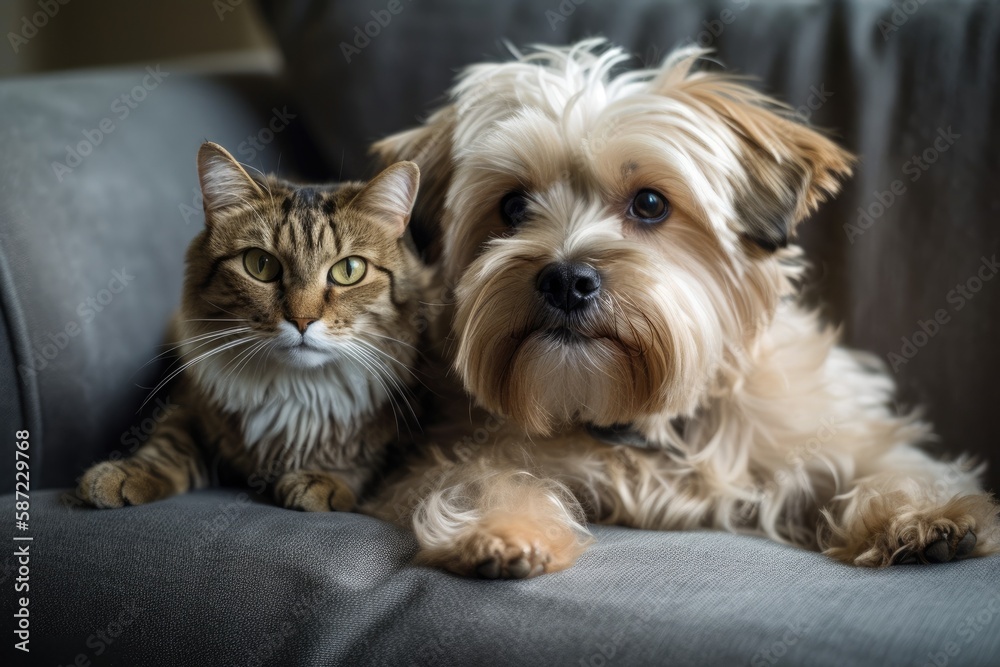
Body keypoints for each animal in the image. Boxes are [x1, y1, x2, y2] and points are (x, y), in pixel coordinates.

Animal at [76, 142, 436, 512]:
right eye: (260, 265)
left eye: (349, 270)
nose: (302, 320)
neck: (297, 391)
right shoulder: (190, 406)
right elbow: (168, 446)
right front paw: (123, 474)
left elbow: (365, 460)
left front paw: (323, 481)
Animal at [364, 39, 996, 576]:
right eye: (513, 207)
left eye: (649, 203)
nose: (566, 280)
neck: (637, 420)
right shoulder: (448, 458)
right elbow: (484, 478)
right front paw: (501, 530)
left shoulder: (829, 424)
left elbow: (890, 461)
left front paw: (921, 513)